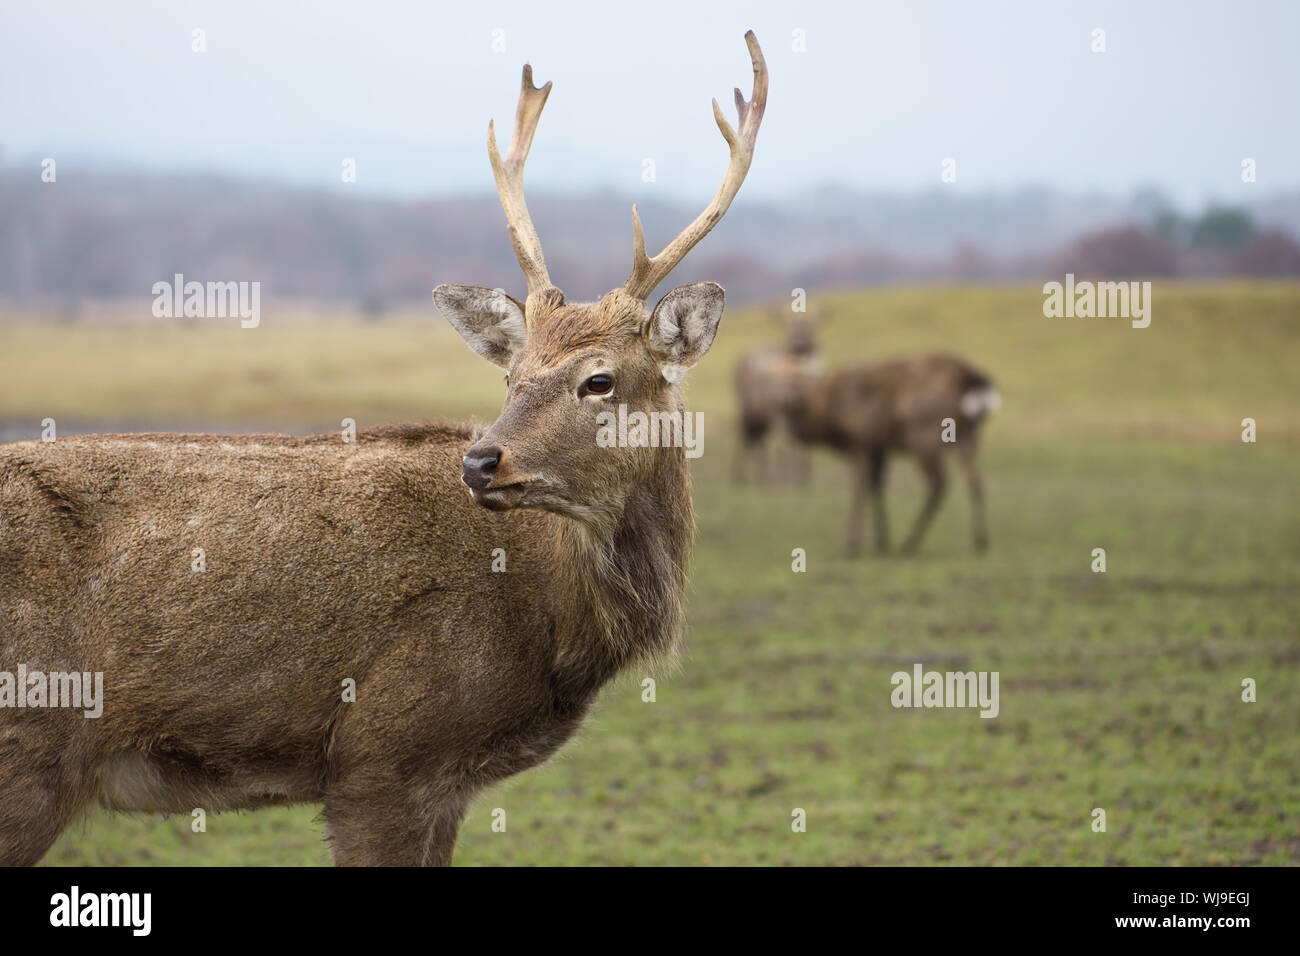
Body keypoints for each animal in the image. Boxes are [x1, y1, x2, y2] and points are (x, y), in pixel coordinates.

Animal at [0, 31, 764, 868]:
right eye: (512, 375)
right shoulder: (384, 753)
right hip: (30, 746)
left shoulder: (444, 784)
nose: (481, 461)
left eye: (600, 379)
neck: (549, 619)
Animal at [733, 308, 821, 486]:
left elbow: (802, 443)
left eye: (812, 329)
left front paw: (804, 479)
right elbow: (784, 443)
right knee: (745, 436)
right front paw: (785, 479)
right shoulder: (777, 410)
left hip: (759, 415)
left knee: (758, 440)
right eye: (789, 329)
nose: (801, 346)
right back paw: (743, 477)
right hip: (748, 409)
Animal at [785, 356, 998, 556]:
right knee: (975, 481)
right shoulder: (880, 449)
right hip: (969, 436)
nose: (792, 429)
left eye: (795, 410)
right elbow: (878, 488)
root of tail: (970, 377)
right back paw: (981, 541)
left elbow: (859, 491)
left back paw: (909, 544)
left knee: (939, 484)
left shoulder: (861, 443)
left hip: (925, 437)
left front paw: (852, 546)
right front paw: (881, 542)